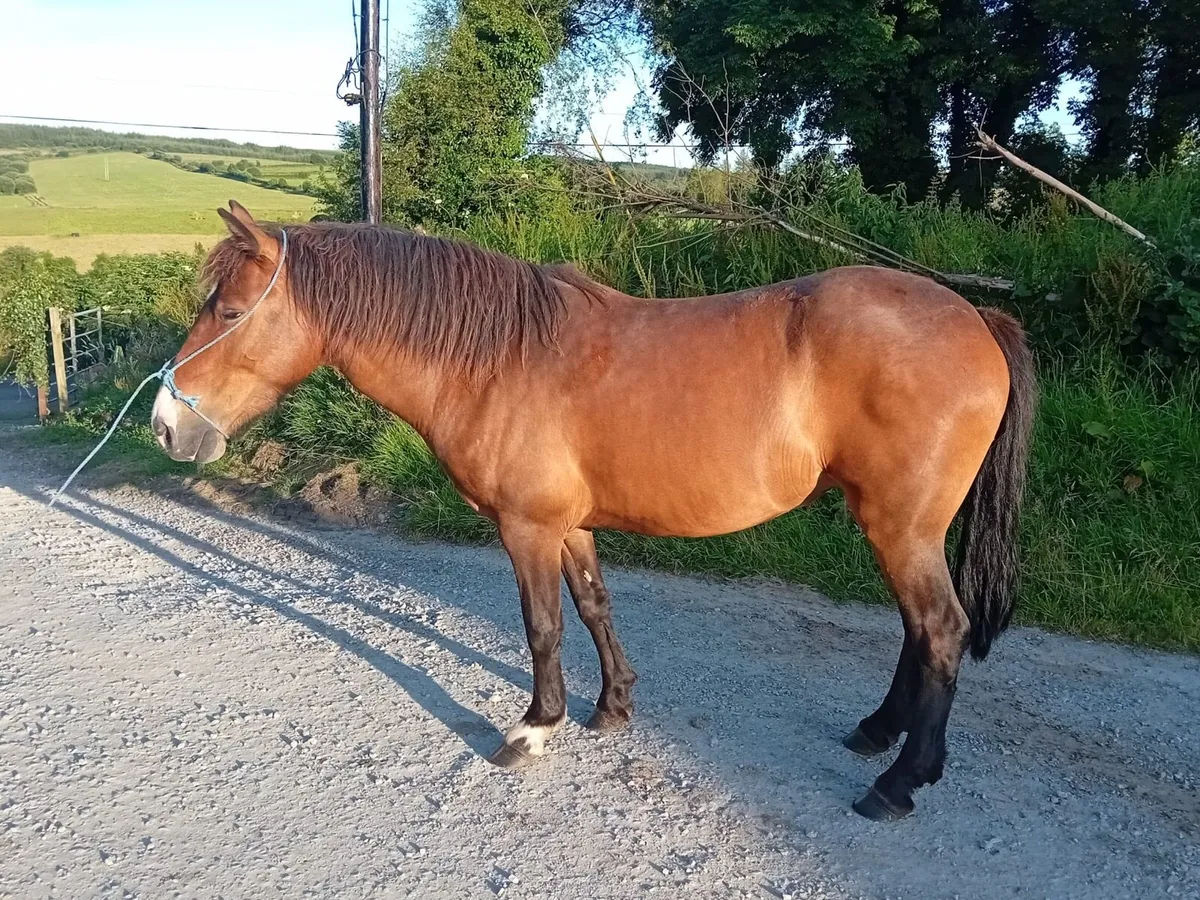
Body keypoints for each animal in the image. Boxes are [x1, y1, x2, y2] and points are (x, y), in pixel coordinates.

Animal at [151, 202, 1035, 821]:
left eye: (229, 313)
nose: (164, 424)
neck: (496, 359)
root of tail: (974, 317)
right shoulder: (569, 525)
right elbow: (592, 606)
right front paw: (611, 707)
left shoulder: (526, 529)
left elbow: (541, 625)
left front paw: (534, 728)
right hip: (899, 526)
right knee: (919, 632)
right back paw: (877, 732)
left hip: (899, 527)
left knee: (940, 631)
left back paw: (898, 781)